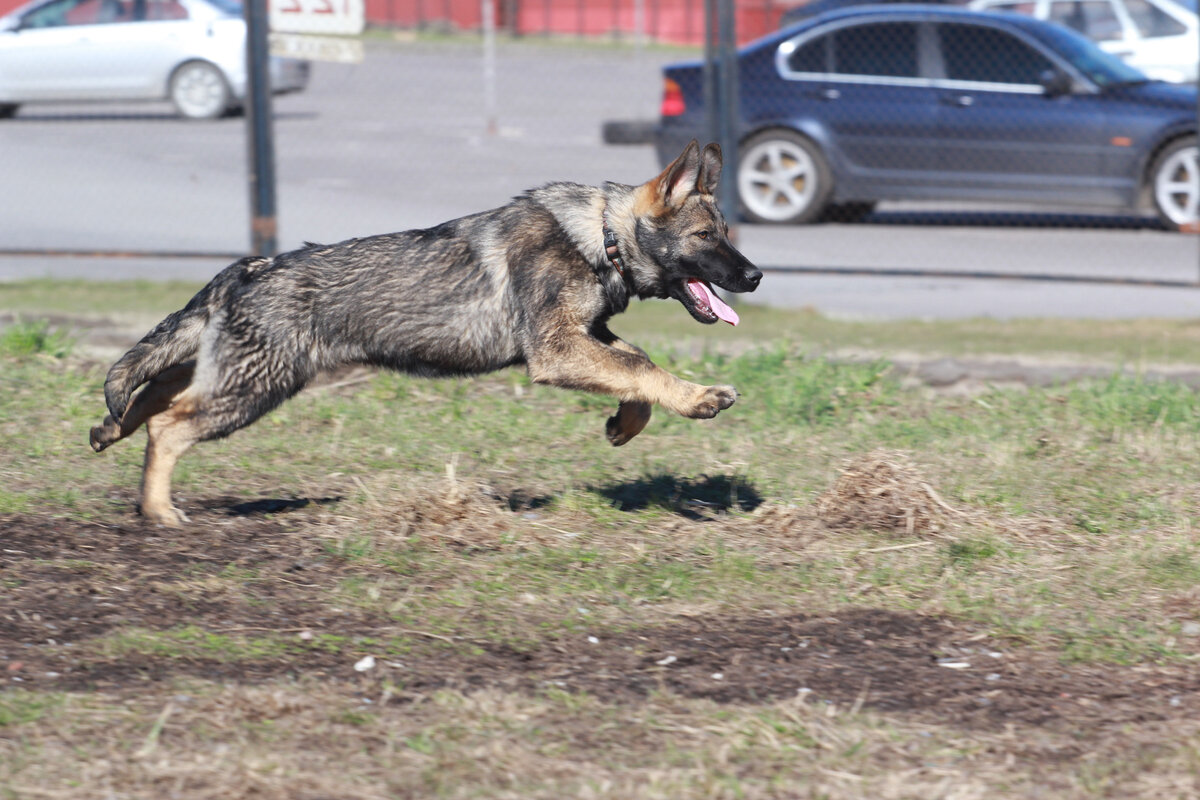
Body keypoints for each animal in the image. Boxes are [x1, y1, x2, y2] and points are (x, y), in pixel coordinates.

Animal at [87, 140, 758, 527]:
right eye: (706, 237)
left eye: (728, 232)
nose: (754, 276)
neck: (601, 234)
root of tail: (252, 266)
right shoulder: (556, 349)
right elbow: (642, 366)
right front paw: (699, 398)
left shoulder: (583, 337)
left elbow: (637, 365)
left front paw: (627, 422)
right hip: (252, 389)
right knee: (168, 425)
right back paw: (158, 510)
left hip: (234, 376)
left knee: (151, 398)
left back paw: (111, 434)